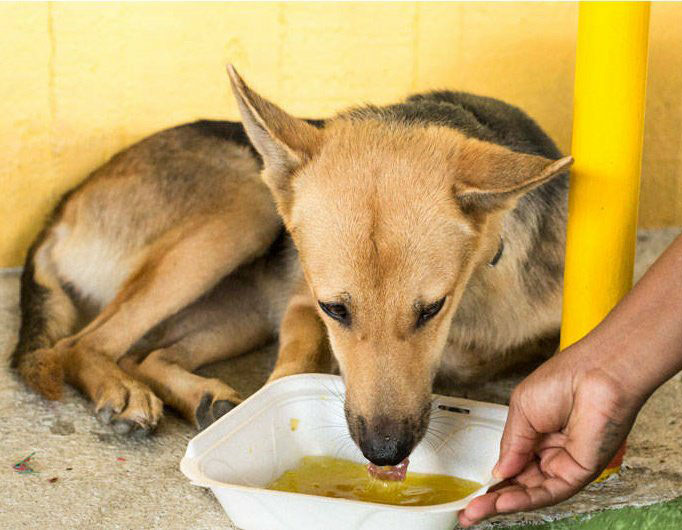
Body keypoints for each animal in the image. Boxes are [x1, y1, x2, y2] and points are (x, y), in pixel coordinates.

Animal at [12, 66, 571, 466]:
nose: (384, 453)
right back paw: (125, 392)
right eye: (335, 310)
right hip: (244, 207)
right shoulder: (304, 302)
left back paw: (203, 399)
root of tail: (63, 205)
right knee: (80, 345)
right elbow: (294, 370)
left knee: (143, 354)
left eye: (432, 308)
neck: (482, 286)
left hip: (243, 311)